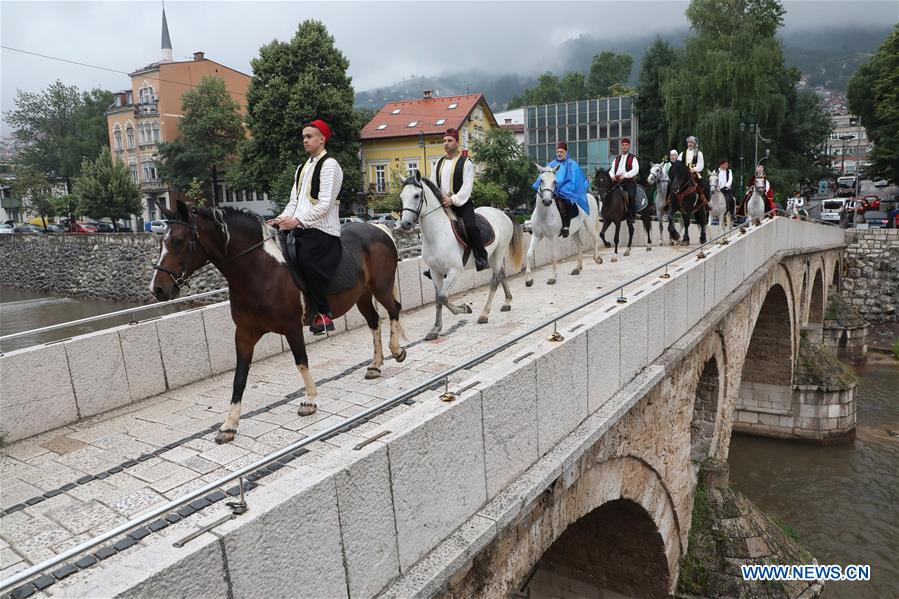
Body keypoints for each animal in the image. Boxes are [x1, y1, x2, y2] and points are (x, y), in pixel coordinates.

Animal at [150, 200, 407, 444]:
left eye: (179, 241)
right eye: (162, 241)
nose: (158, 288)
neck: (260, 270)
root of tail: (379, 228)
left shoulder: (292, 328)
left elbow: (301, 362)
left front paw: (309, 401)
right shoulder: (244, 333)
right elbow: (239, 378)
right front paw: (229, 425)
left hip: (381, 287)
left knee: (394, 309)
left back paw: (397, 350)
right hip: (362, 295)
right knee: (374, 322)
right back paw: (375, 365)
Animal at [396, 170, 524, 340]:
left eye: (417, 195)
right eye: (402, 196)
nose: (405, 224)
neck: (437, 235)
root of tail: (502, 213)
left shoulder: (454, 271)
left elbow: (443, 297)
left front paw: (464, 309)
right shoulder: (435, 272)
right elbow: (438, 299)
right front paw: (435, 328)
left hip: (498, 254)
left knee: (494, 281)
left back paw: (484, 314)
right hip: (492, 256)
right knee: (502, 274)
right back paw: (507, 302)